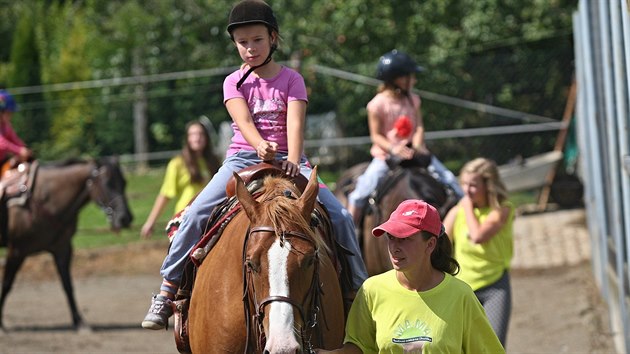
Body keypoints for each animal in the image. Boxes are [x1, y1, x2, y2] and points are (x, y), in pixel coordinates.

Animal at [0, 156, 133, 330]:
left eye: (124, 182)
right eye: (108, 183)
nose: (125, 218)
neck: (43, 199)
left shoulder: (62, 249)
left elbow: (68, 285)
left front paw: (79, 322)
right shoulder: (16, 251)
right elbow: (7, 284)